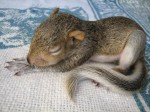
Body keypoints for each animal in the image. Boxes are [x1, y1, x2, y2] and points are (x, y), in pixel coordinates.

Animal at [5, 8, 146, 100]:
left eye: (55, 50)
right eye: (36, 31)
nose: (29, 60)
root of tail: (142, 56)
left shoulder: (86, 50)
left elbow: (60, 67)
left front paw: (26, 66)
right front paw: (23, 60)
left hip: (135, 41)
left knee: (125, 69)